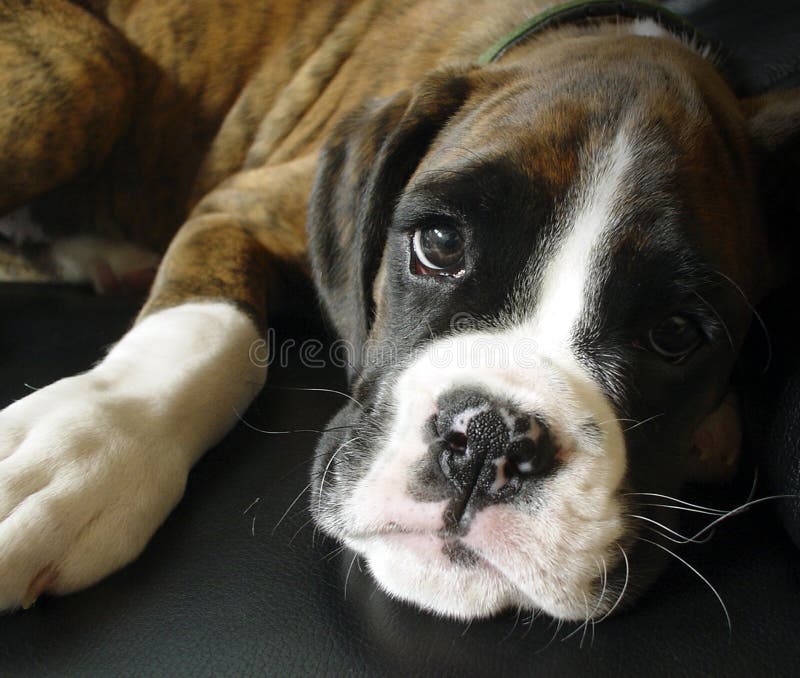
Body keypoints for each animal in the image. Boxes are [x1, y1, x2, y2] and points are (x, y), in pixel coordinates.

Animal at [1, 0, 800, 624]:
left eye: (674, 334)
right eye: (438, 244)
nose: (486, 442)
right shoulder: (243, 203)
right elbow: (202, 330)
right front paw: (85, 449)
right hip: (84, 69)